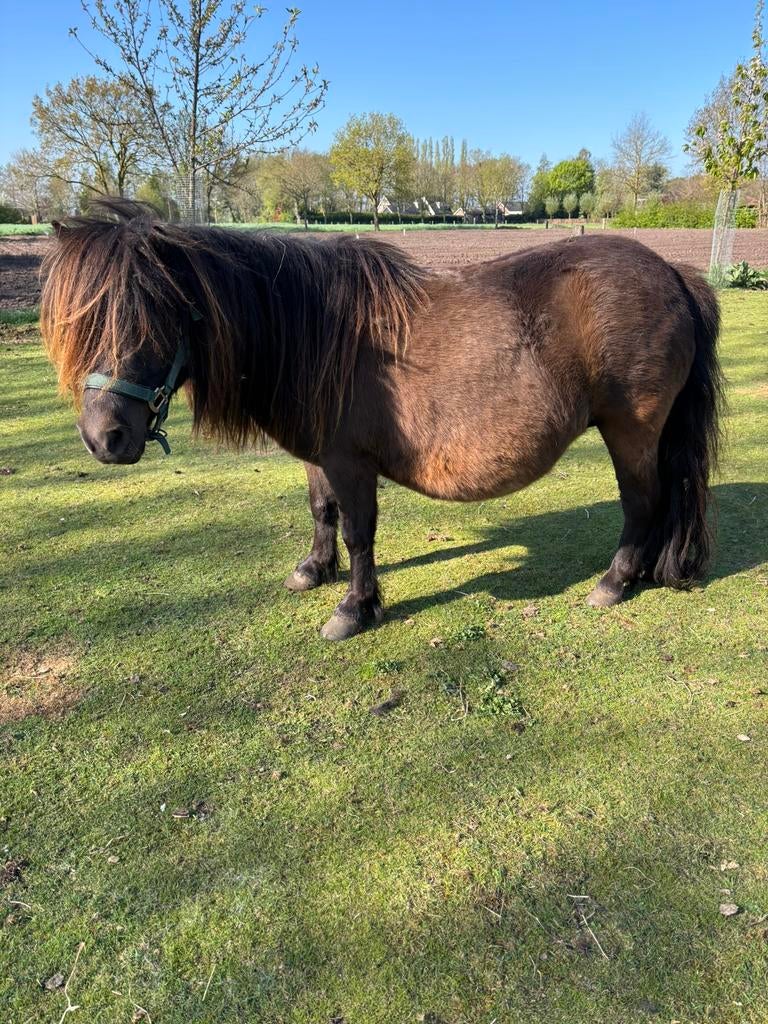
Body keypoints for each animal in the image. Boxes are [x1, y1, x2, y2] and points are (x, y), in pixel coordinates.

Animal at [41, 200, 723, 640]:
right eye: (80, 322)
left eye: (151, 314)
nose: (105, 437)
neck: (314, 332)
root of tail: (672, 272)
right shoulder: (318, 456)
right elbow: (322, 512)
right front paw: (313, 571)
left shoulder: (351, 462)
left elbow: (358, 532)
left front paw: (354, 607)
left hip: (630, 430)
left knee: (644, 503)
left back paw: (615, 580)